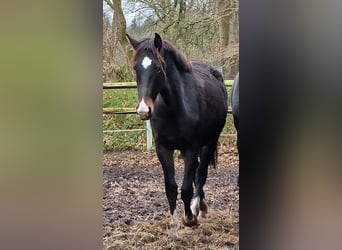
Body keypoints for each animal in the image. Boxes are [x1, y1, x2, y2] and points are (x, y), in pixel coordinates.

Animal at [125, 33, 227, 230]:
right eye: (135, 68)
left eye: (158, 68)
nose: (143, 110)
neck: (174, 107)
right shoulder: (163, 149)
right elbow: (170, 187)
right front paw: (174, 222)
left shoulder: (191, 147)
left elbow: (186, 188)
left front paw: (189, 218)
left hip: (210, 142)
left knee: (200, 173)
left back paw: (198, 207)